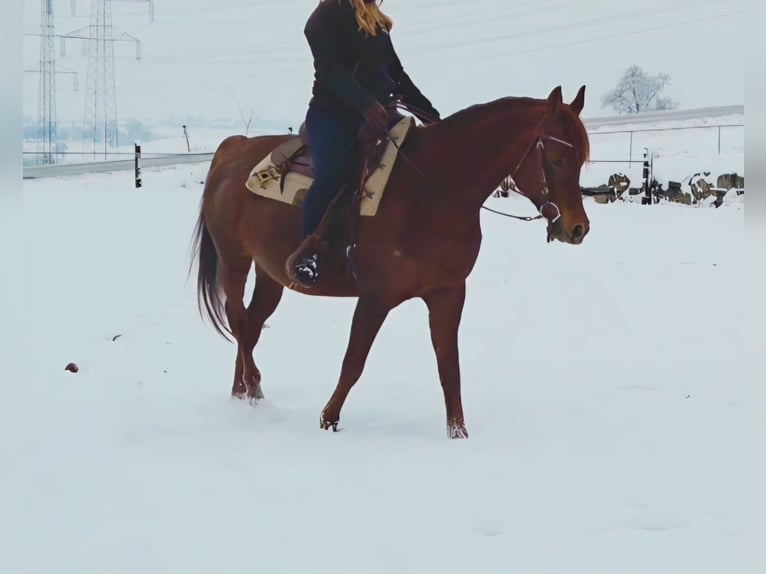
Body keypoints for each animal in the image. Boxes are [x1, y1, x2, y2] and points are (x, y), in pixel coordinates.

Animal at [190, 85, 591, 439]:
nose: (577, 228)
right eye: (557, 159)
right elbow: (354, 361)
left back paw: (243, 396)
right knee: (239, 320)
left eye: (582, 159)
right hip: (235, 260)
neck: (432, 191)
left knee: (252, 325)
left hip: (270, 273)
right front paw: (328, 421)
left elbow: (449, 367)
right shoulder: (375, 297)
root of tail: (232, 149)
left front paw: (458, 434)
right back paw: (254, 387)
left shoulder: (447, 294)